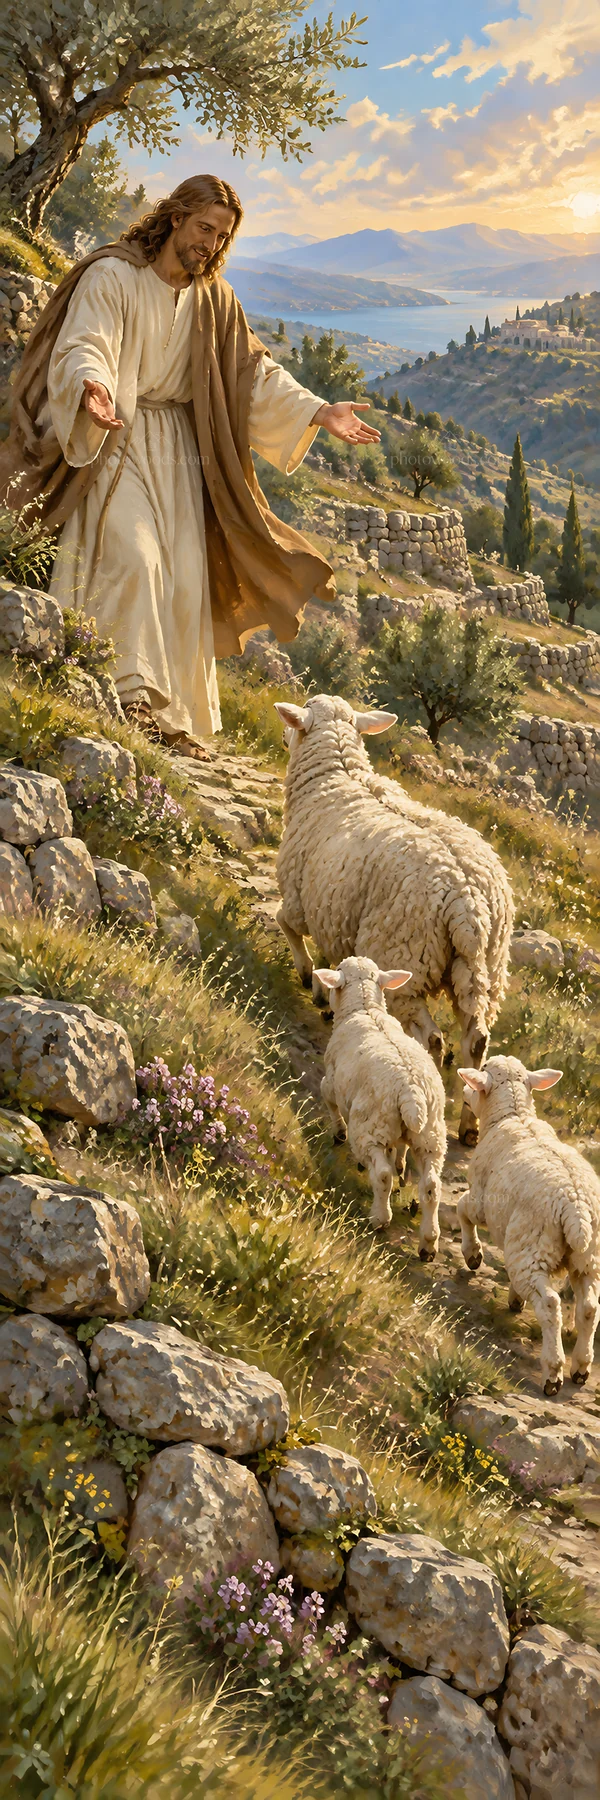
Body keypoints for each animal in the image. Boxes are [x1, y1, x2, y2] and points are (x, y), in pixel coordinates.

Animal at [274, 694, 514, 1141]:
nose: (283, 735)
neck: (339, 774)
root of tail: (467, 901)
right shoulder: (337, 912)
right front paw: (330, 995)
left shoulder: (301, 898)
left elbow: (289, 928)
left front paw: (311, 982)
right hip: (484, 967)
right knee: (476, 1040)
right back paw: (469, 1127)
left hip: (404, 955)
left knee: (433, 1040)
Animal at [316, 955, 447, 1247]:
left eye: (337, 971)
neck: (365, 1008)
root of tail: (411, 1091)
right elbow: (399, 1149)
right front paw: (400, 1161)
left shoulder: (332, 1080)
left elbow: (328, 1099)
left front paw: (338, 1133)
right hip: (430, 1134)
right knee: (431, 1186)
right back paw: (428, 1242)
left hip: (371, 1127)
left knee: (383, 1175)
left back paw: (380, 1217)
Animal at [456, 1056, 600, 1395]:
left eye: (479, 1078)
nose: (464, 1095)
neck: (514, 1116)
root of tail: (576, 1207)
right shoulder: (514, 1236)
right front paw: (515, 1298)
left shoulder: (482, 1200)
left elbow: (463, 1210)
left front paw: (472, 1254)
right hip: (587, 1256)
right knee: (589, 1308)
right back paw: (580, 1367)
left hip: (535, 1245)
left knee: (549, 1304)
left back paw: (553, 1373)